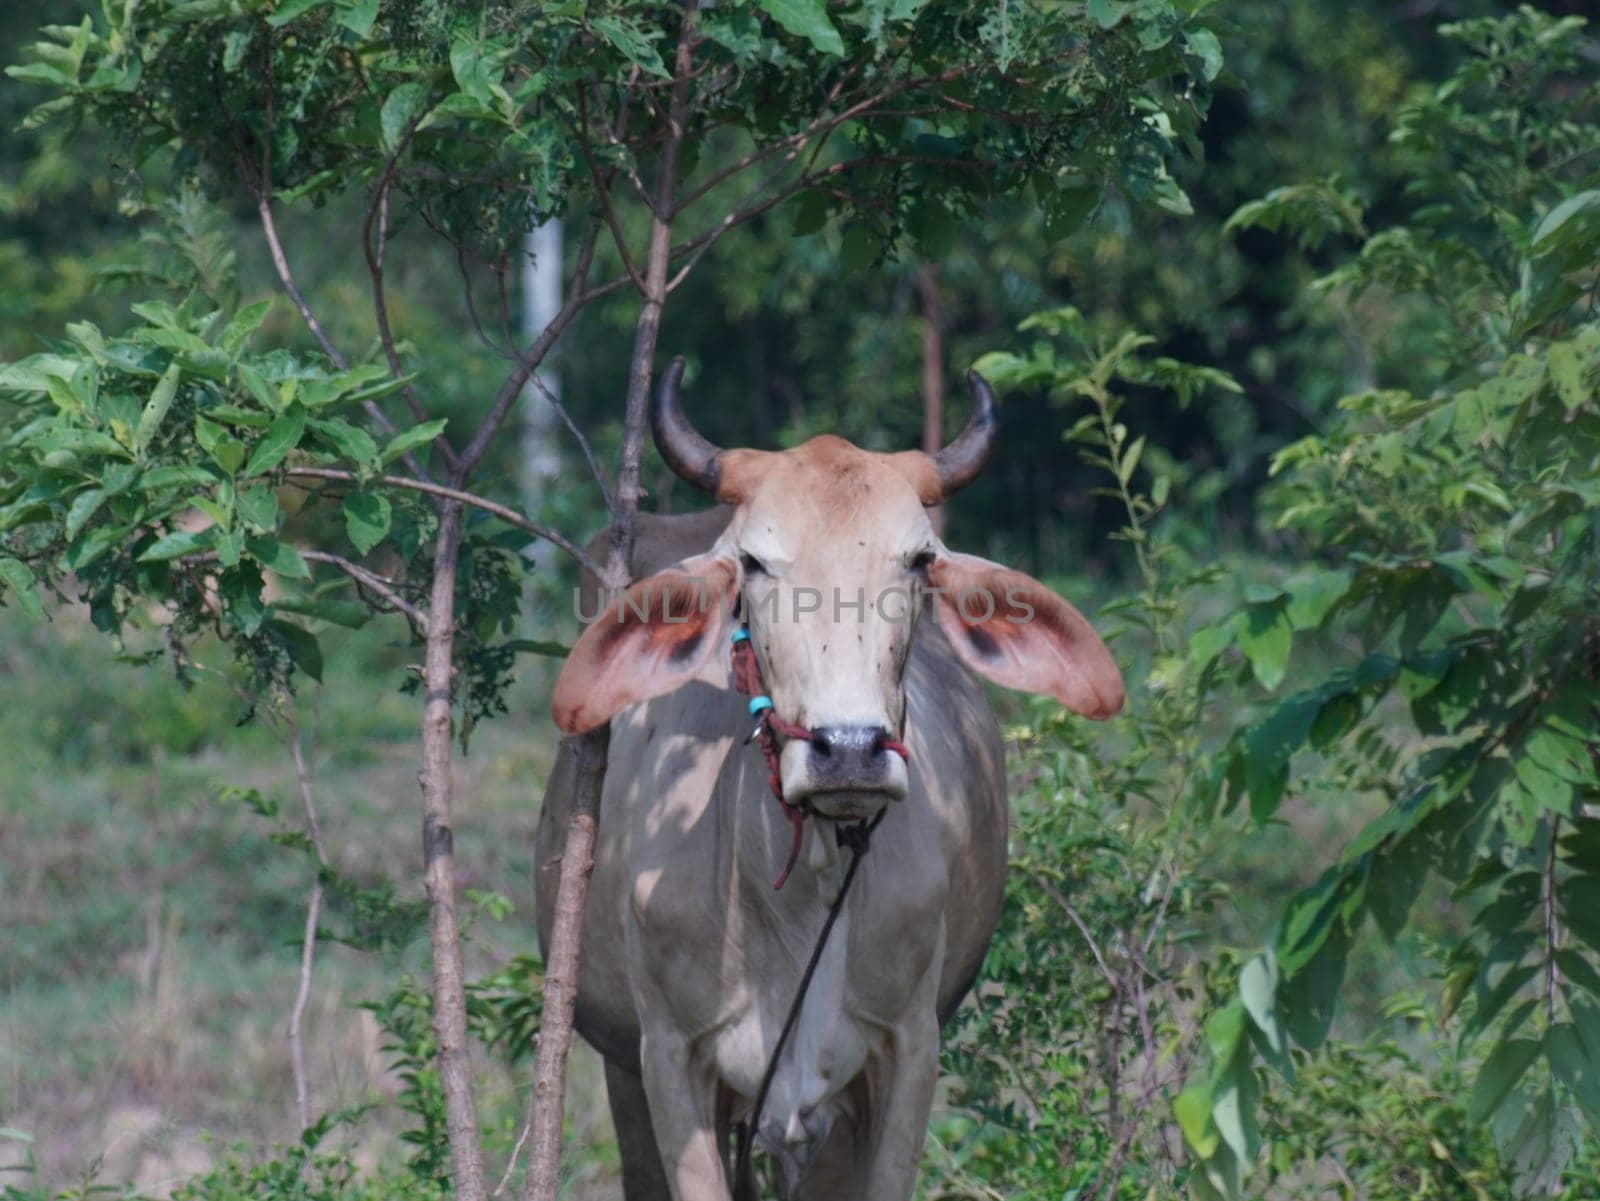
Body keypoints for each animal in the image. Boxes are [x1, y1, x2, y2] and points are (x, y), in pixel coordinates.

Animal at [537, 359, 1126, 1201]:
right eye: (753, 562)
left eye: (918, 561)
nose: (848, 748)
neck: (792, 892)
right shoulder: (667, 1058)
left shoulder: (905, 1054)